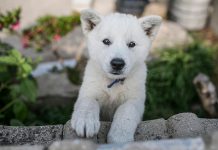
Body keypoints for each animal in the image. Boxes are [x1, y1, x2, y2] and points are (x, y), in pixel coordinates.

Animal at [70, 9, 161, 143]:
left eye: (131, 44)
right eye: (106, 41)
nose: (117, 64)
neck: (113, 82)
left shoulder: (136, 100)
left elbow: (127, 110)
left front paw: (120, 136)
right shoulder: (88, 91)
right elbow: (88, 103)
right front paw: (86, 121)